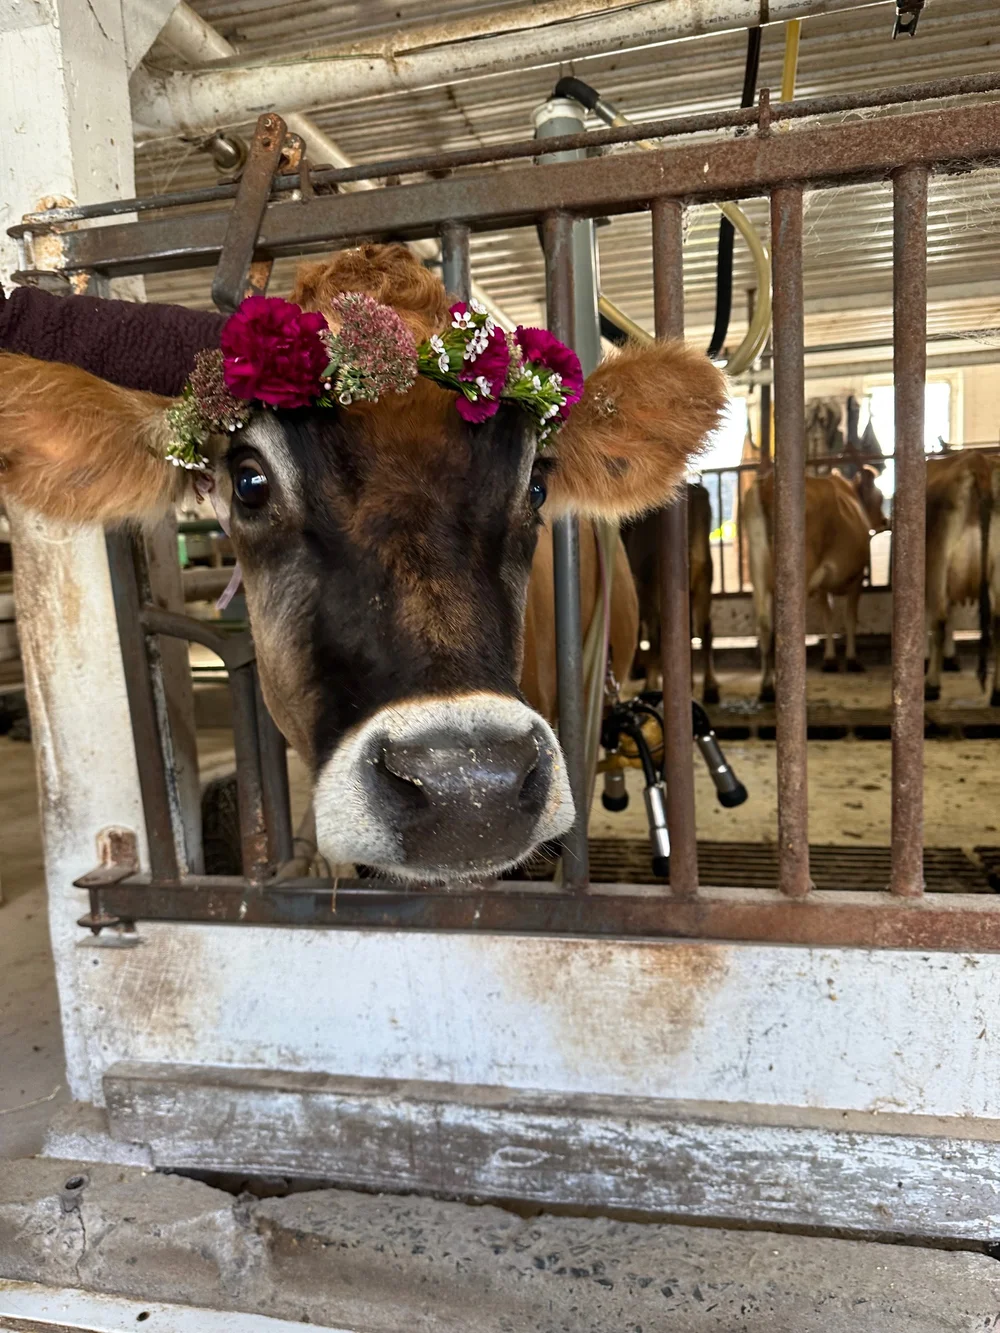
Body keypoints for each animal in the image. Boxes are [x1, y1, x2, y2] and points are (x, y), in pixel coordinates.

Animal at [744, 466, 889, 702]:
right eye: (880, 498)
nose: (885, 520)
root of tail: (767, 483)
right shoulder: (857, 577)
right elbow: (849, 618)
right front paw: (852, 660)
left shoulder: (822, 584)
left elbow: (827, 617)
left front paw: (829, 659)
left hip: (757, 573)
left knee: (764, 625)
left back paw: (766, 688)